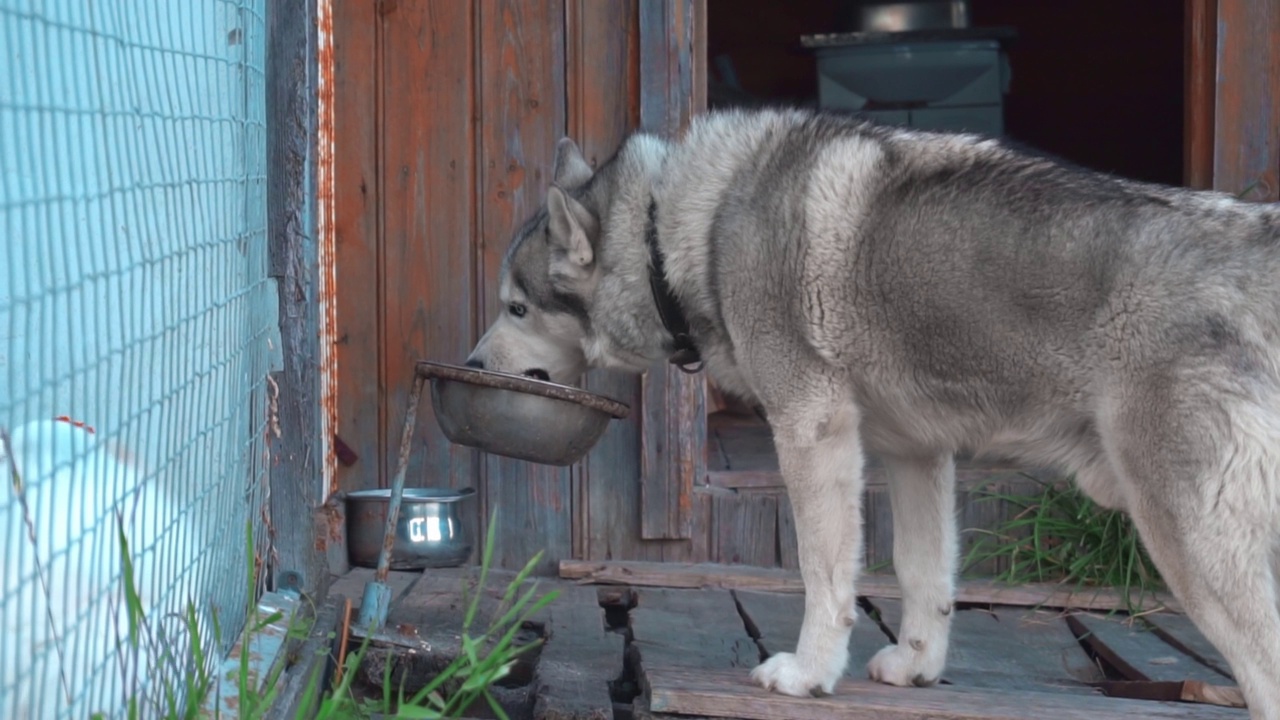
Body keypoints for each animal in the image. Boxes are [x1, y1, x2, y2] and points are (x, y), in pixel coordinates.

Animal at [468, 105, 1280, 712]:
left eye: (515, 307)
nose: (471, 367)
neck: (675, 229)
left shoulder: (811, 430)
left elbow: (826, 576)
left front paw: (807, 674)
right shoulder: (915, 455)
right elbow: (924, 574)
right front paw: (917, 667)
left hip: (1191, 540)